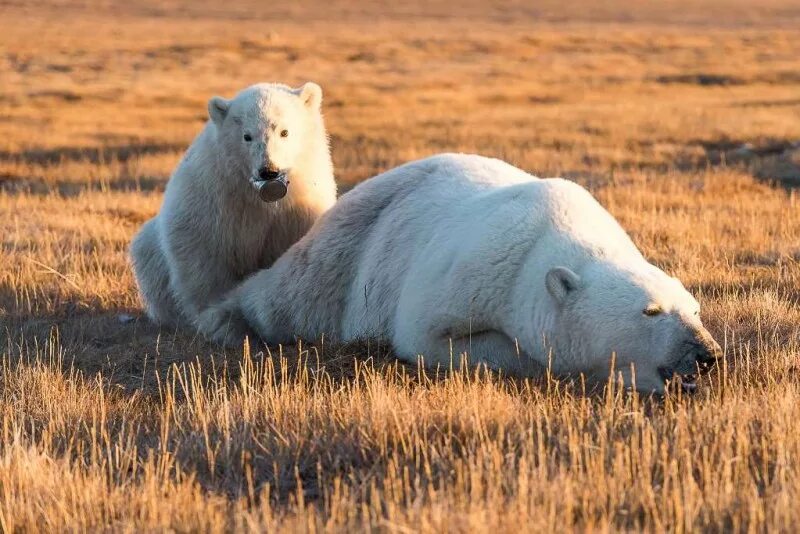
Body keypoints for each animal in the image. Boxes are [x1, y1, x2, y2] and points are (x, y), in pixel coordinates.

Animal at [130, 82, 336, 328]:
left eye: (284, 131)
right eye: (247, 136)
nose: (268, 171)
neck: (259, 197)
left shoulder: (296, 208)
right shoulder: (215, 197)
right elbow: (202, 255)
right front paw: (214, 313)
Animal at [197, 153, 720, 396]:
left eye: (695, 309)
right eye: (651, 311)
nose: (706, 354)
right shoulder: (478, 268)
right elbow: (429, 334)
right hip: (350, 247)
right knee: (292, 294)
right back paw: (226, 317)